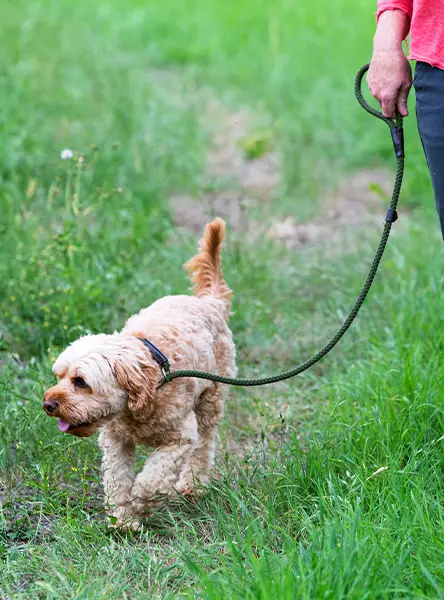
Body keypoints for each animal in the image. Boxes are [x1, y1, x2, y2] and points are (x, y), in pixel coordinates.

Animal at [42, 218, 236, 528]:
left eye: (80, 381)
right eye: (59, 376)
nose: (48, 404)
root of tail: (209, 302)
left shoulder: (180, 438)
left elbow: (153, 478)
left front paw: (141, 503)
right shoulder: (115, 440)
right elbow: (117, 478)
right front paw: (123, 519)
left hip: (211, 399)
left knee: (205, 444)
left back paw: (192, 485)